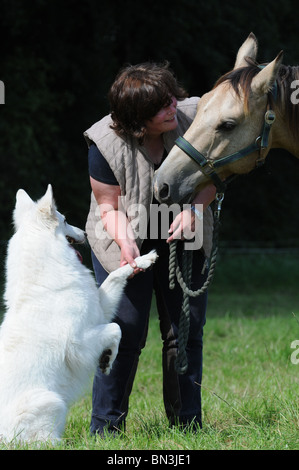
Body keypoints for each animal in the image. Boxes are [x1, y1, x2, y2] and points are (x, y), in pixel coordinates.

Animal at [0, 185, 159, 442]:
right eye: (65, 220)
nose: (84, 231)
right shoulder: (79, 344)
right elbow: (116, 328)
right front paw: (107, 359)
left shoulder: (100, 308)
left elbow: (117, 275)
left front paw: (143, 260)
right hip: (51, 401)